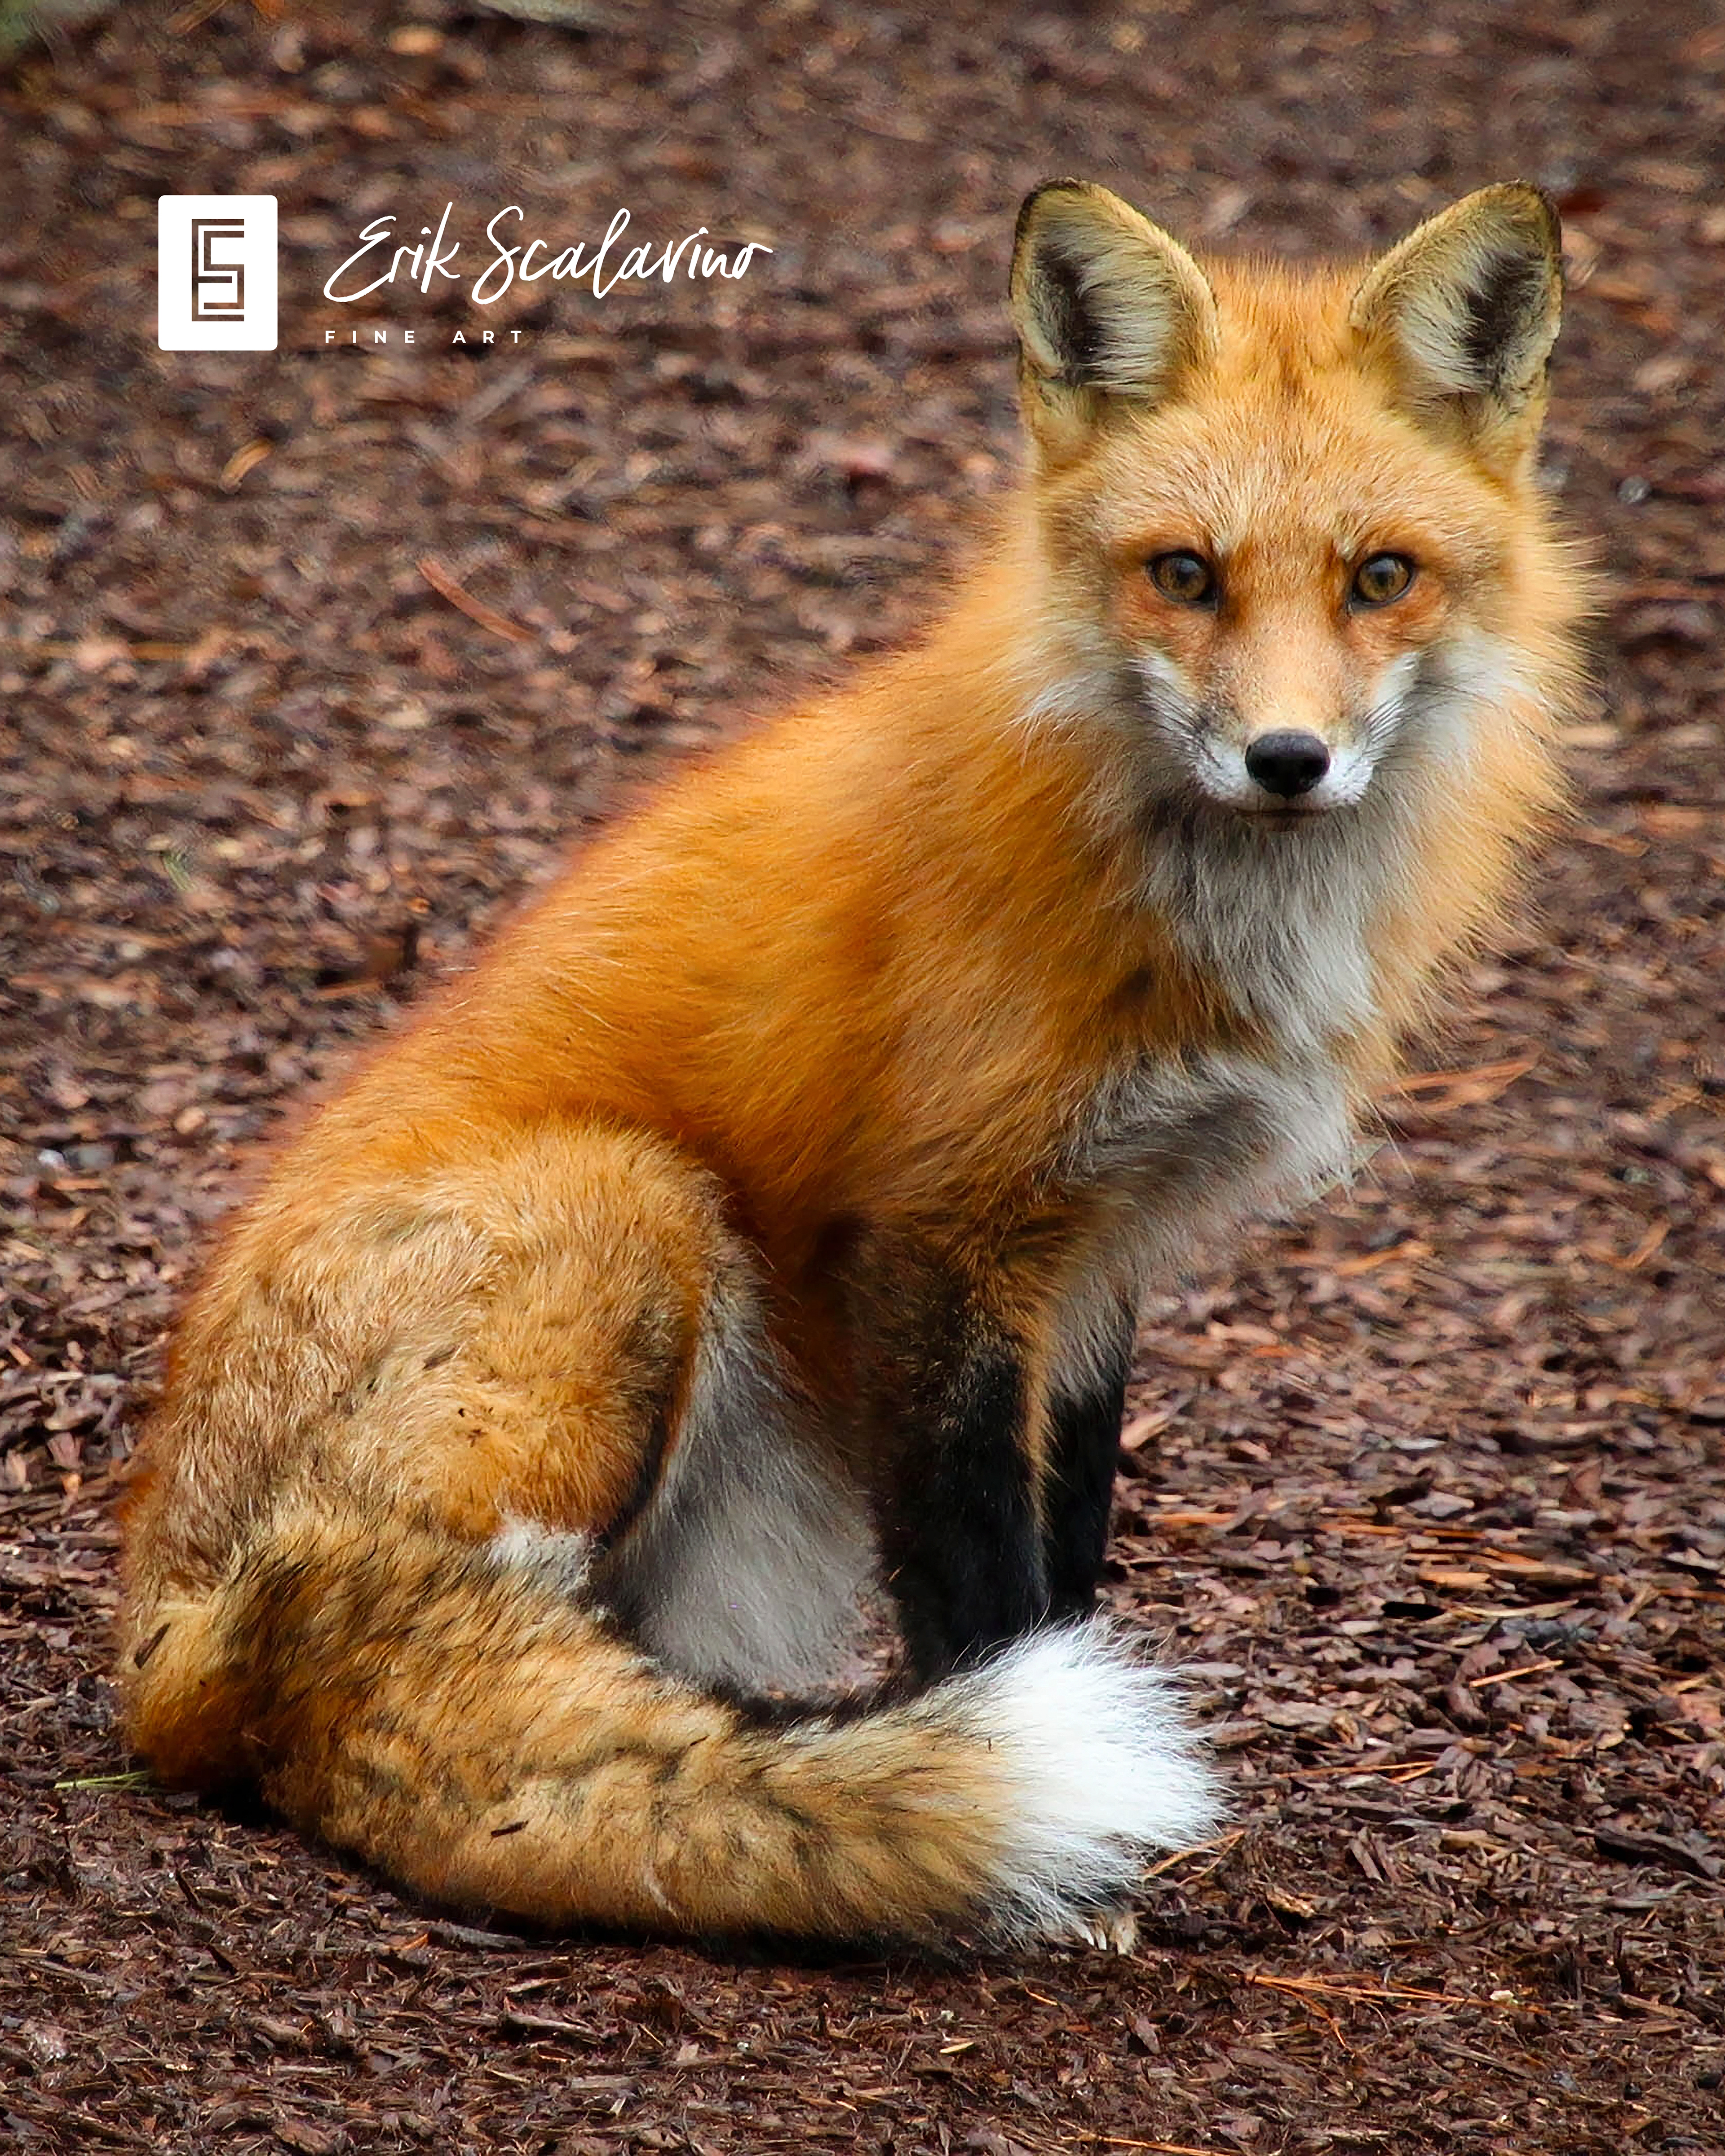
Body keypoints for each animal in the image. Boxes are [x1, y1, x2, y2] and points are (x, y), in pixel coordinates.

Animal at [117, 180, 1587, 1951]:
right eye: (1183, 573)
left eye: (1381, 576)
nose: (1286, 760)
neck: (1203, 919)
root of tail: (163, 1631)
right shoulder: (938, 1240)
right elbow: (983, 1583)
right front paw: (1053, 1871)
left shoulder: (1095, 1253)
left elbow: (1070, 1550)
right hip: (626, 1210)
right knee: (373, 1657)